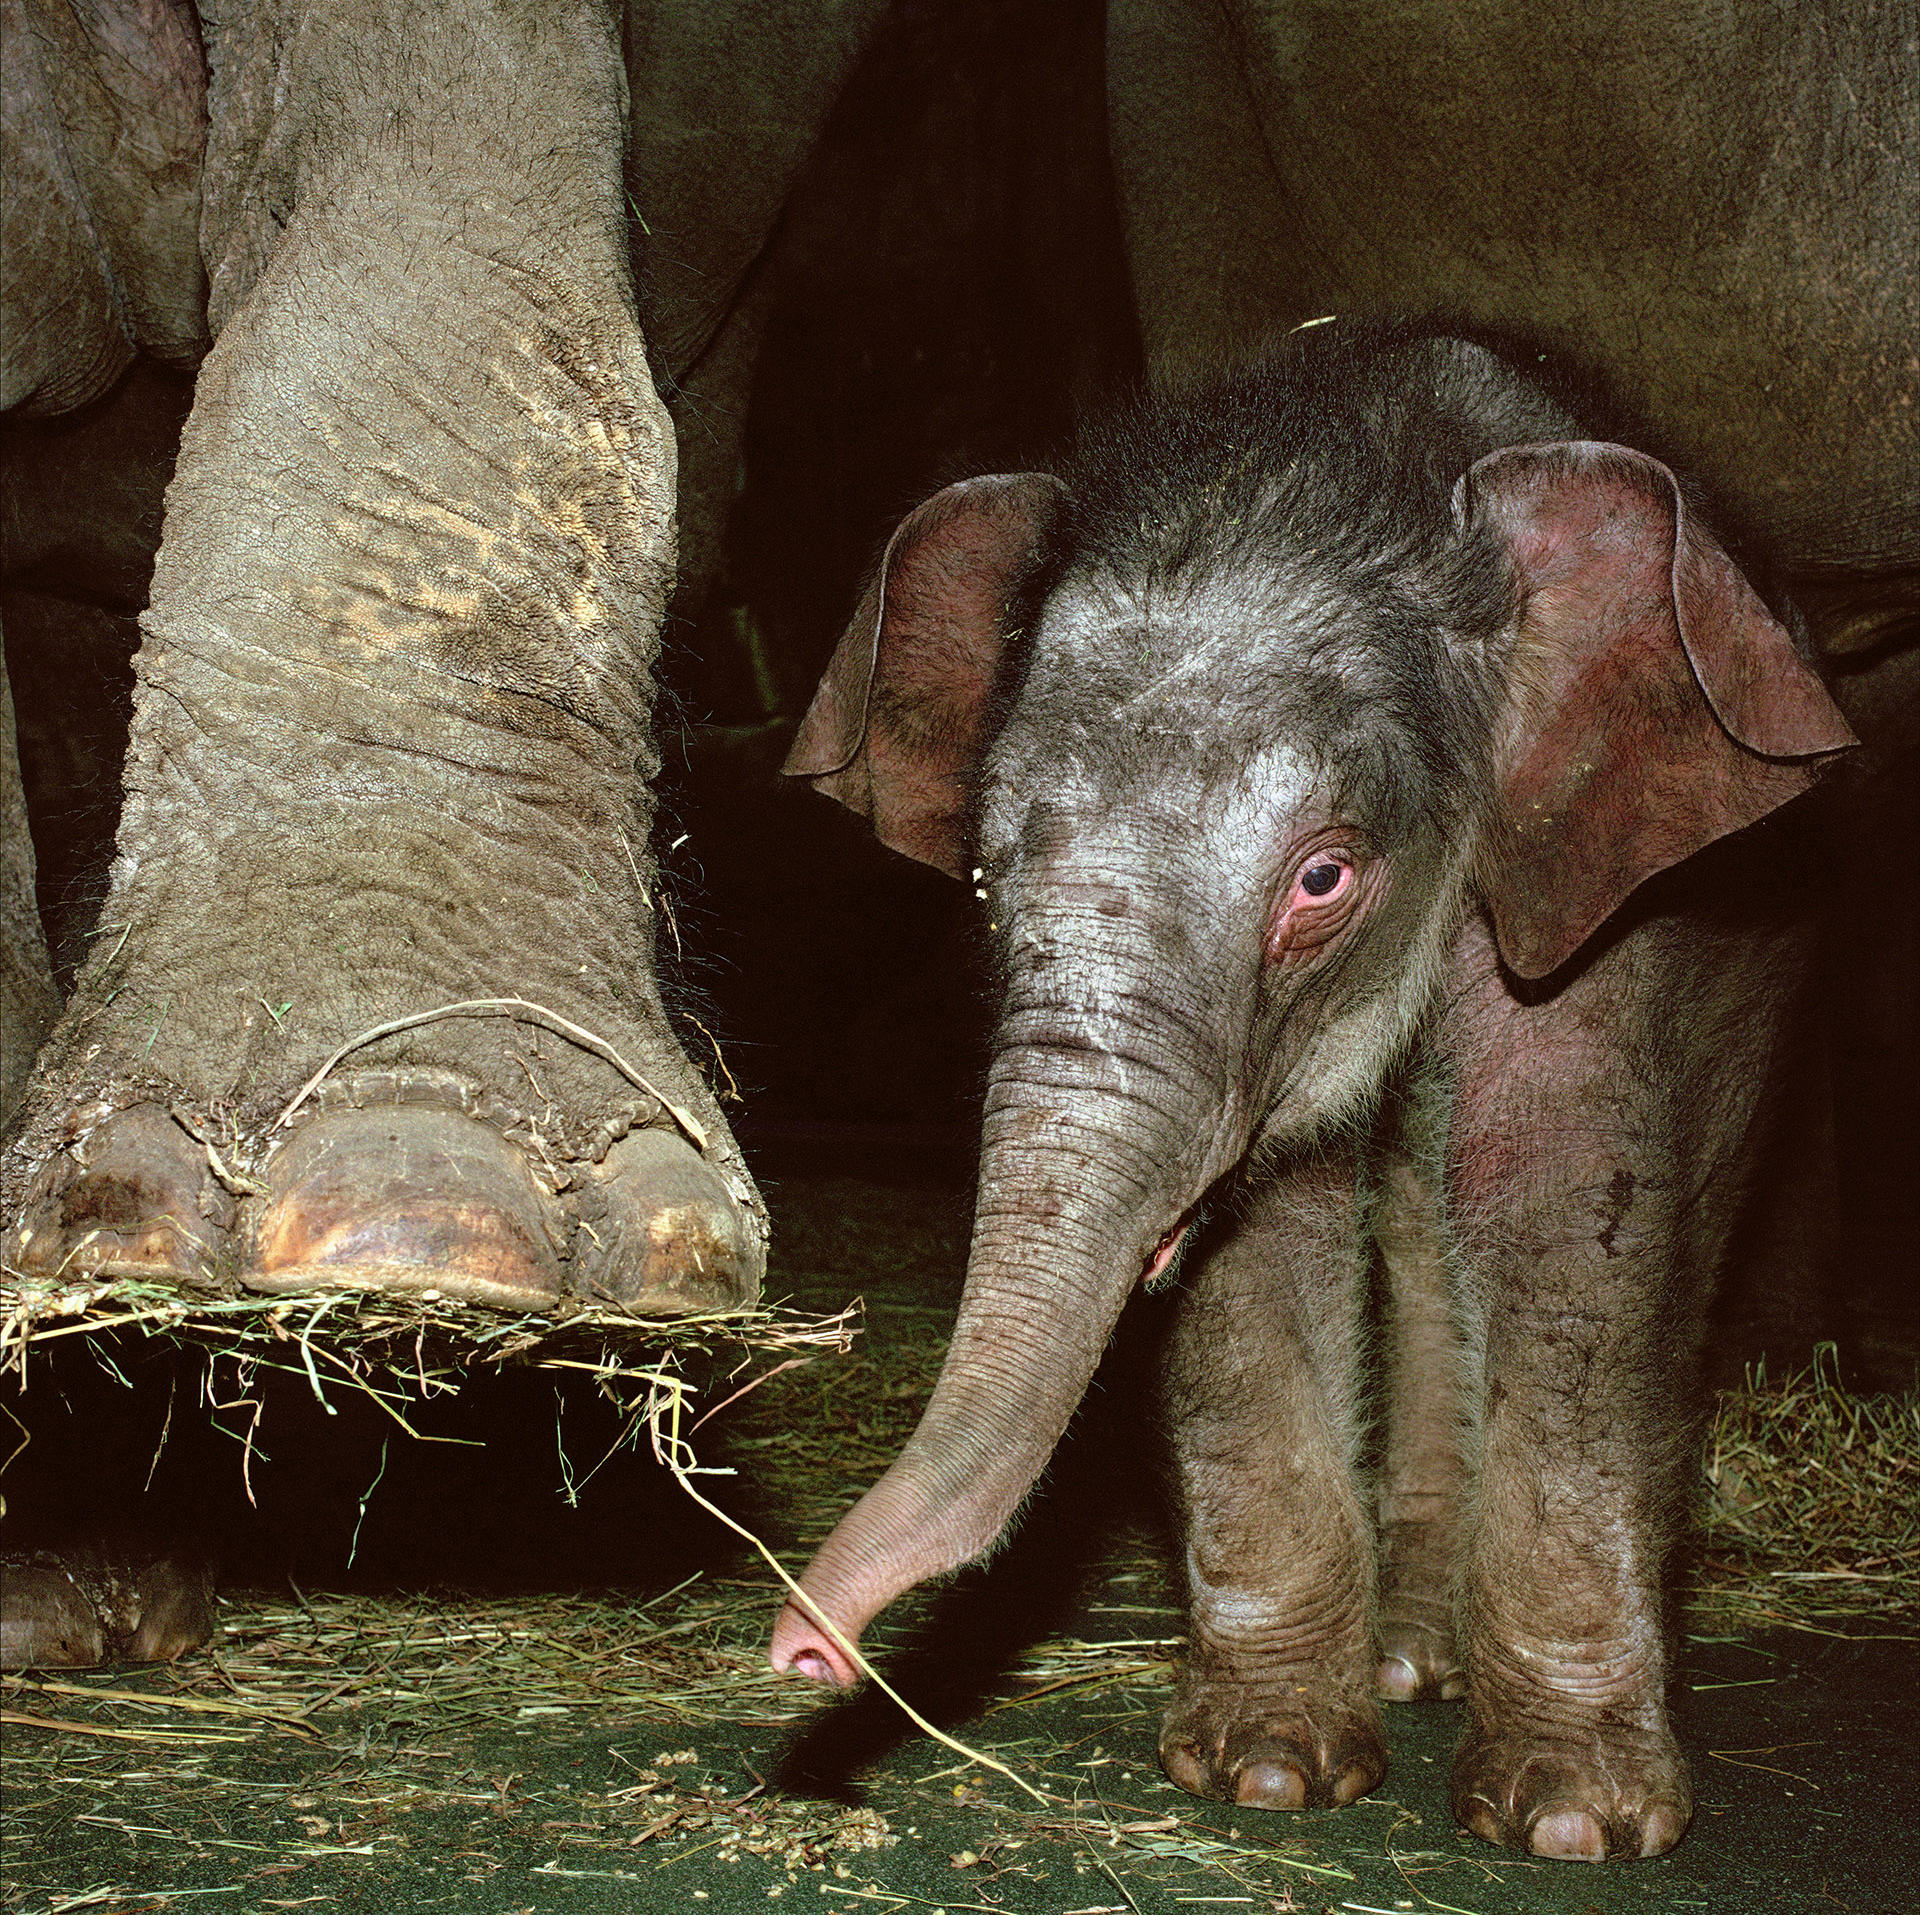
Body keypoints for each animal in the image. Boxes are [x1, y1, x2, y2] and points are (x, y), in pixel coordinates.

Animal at [771, 320, 1850, 1859]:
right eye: (981, 875)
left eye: (1324, 877)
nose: (806, 1648)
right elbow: (1268, 1220)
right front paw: (1268, 1768)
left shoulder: (1595, 858)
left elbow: (1557, 1187)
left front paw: (1571, 1819)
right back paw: (1409, 1658)